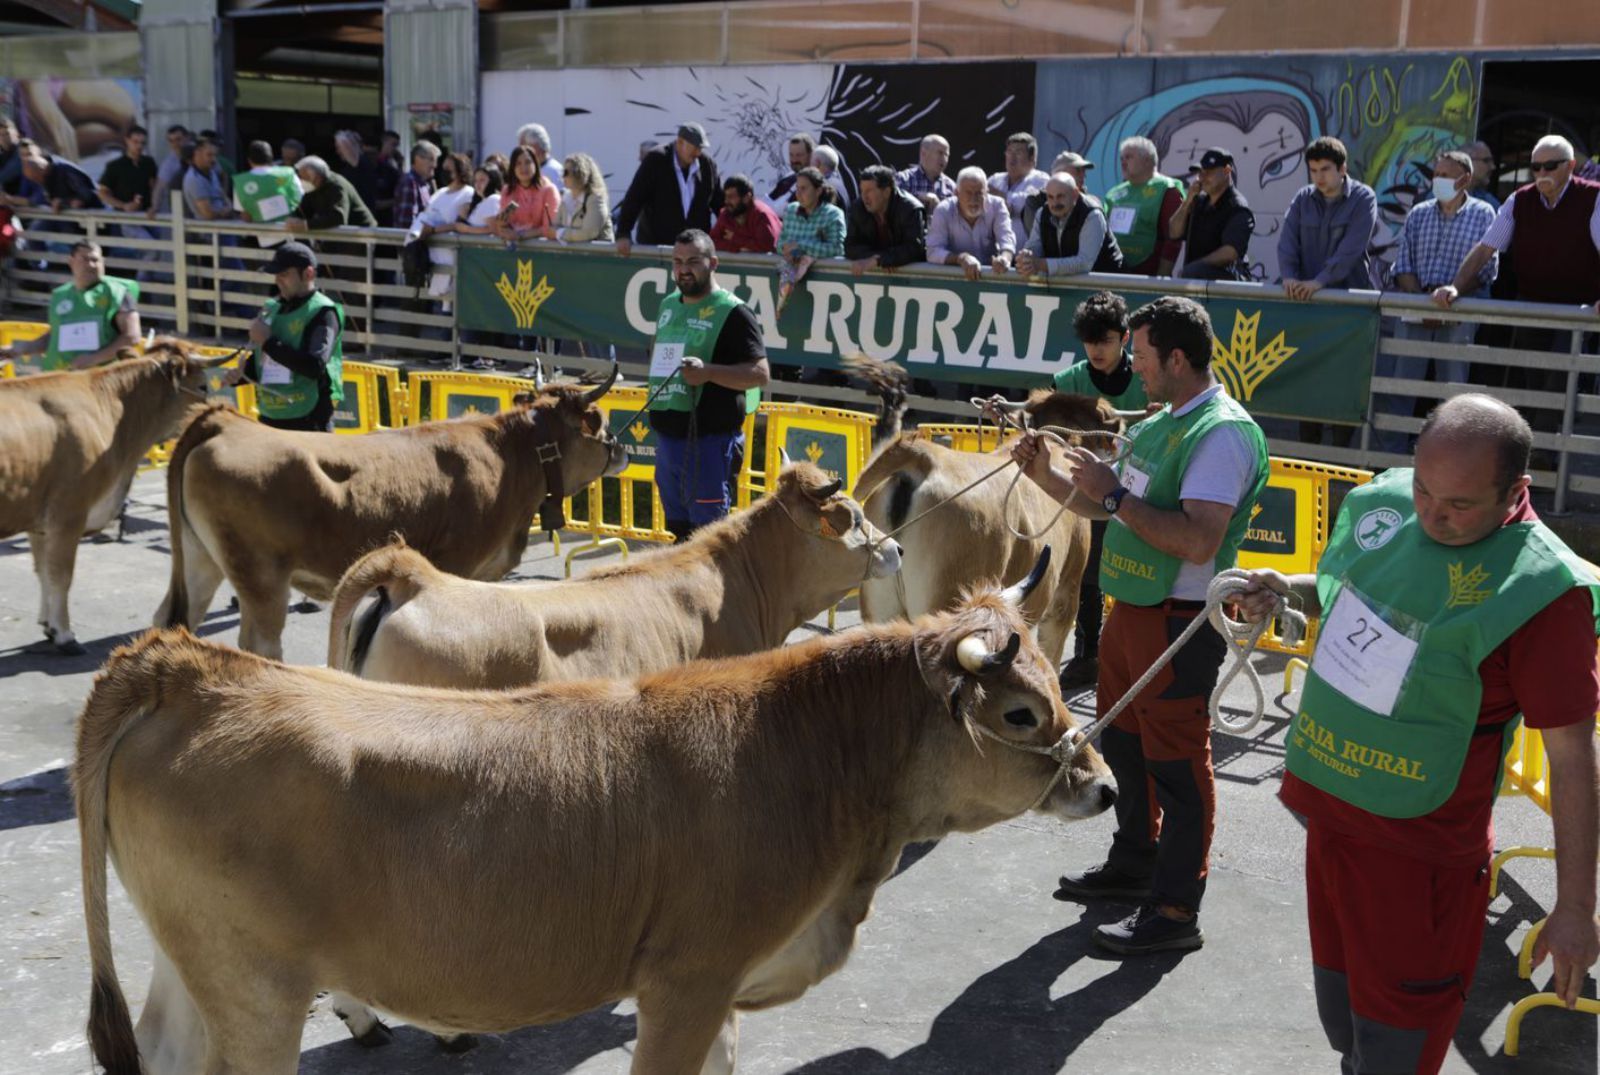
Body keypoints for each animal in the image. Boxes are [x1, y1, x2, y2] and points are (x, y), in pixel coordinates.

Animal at [0, 340, 233, 649]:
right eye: (203, 385)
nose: (216, 411)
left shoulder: (38, 519)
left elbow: (43, 572)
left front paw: (47, 624)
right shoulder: (68, 514)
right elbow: (61, 575)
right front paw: (64, 634)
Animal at [78, 566, 1113, 1068]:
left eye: (1055, 683)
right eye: (1020, 712)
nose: (1102, 780)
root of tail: (187, 666)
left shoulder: (720, 989)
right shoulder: (688, 979)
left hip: (194, 962)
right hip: (255, 984)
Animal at [156, 371, 627, 655]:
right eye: (598, 419)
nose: (621, 447)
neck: (509, 456)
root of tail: (226, 421)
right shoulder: (458, 566)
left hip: (201, 559)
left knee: (172, 620)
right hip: (260, 574)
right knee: (260, 642)